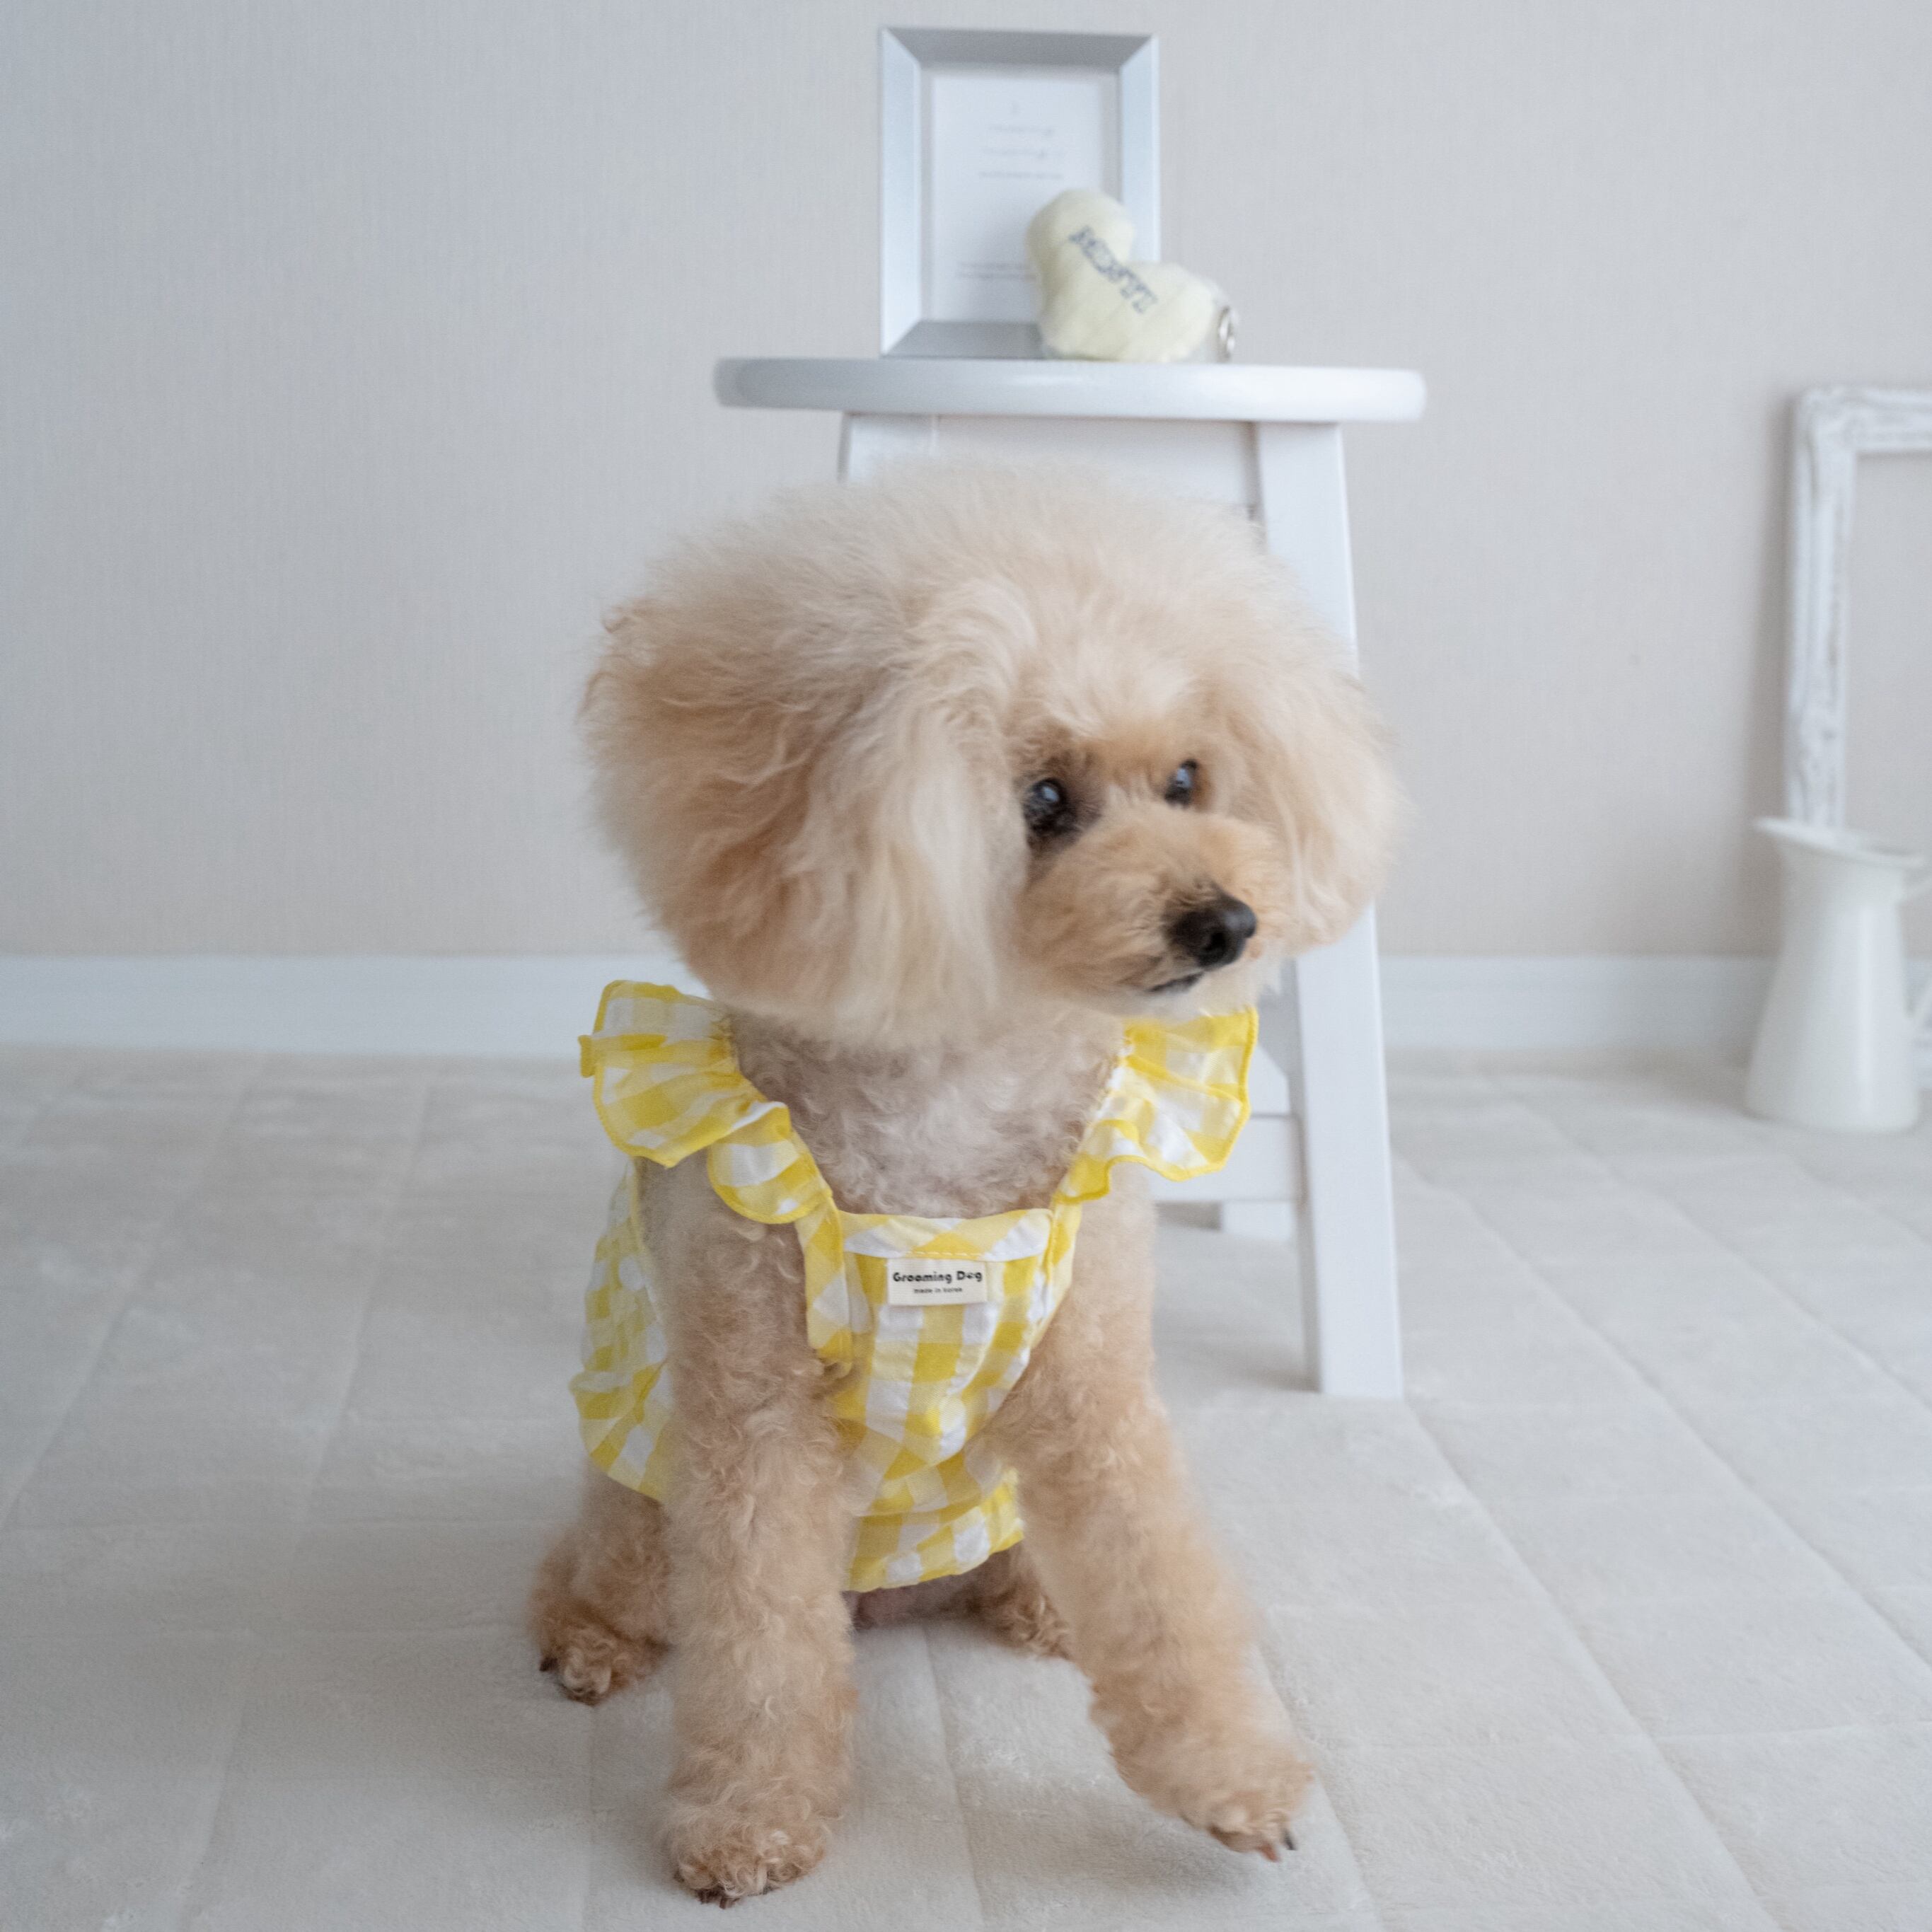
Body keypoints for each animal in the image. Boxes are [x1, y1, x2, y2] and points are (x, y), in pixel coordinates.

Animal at [531, 462, 1399, 1903]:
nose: (1224, 923)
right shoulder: (755, 1425)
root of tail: (894, 1596)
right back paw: (586, 1639)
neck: (954, 1098)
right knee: (603, 1571)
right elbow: (761, 1653)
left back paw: (1036, 1600)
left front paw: (1237, 1783)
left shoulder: (1094, 1395)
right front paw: (746, 1821)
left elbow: (1162, 1588)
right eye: (1041, 800)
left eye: (1187, 777)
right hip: (645, 1510)